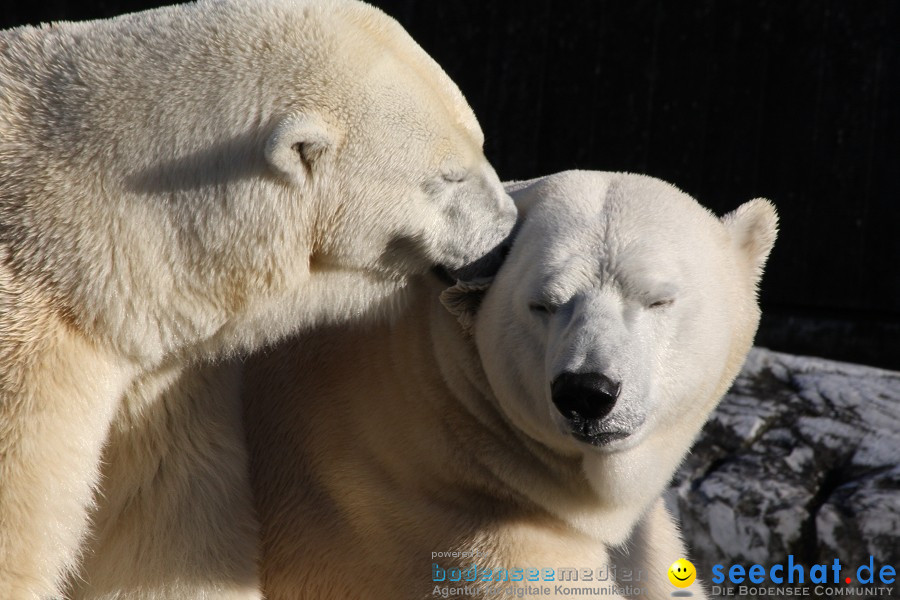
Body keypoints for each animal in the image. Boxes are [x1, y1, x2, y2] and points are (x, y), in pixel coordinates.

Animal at [0, 1, 516, 596]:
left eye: (483, 142)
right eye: (447, 177)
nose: (508, 236)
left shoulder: (156, 376)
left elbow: (163, 517)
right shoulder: (30, 357)